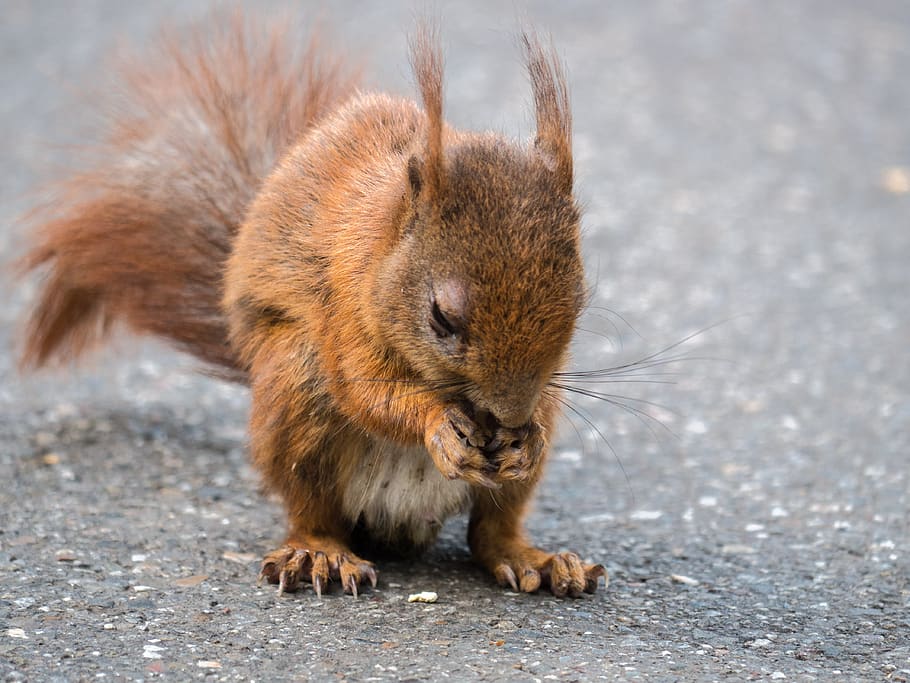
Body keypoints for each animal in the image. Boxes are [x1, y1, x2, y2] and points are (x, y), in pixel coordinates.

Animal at [18, 13, 606, 598]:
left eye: (578, 305)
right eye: (441, 317)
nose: (511, 416)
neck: (381, 250)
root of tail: (401, 523)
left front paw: (528, 439)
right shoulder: (342, 309)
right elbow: (367, 393)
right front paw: (438, 423)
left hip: (511, 469)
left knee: (491, 530)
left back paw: (535, 558)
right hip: (296, 388)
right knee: (313, 509)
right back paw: (319, 553)